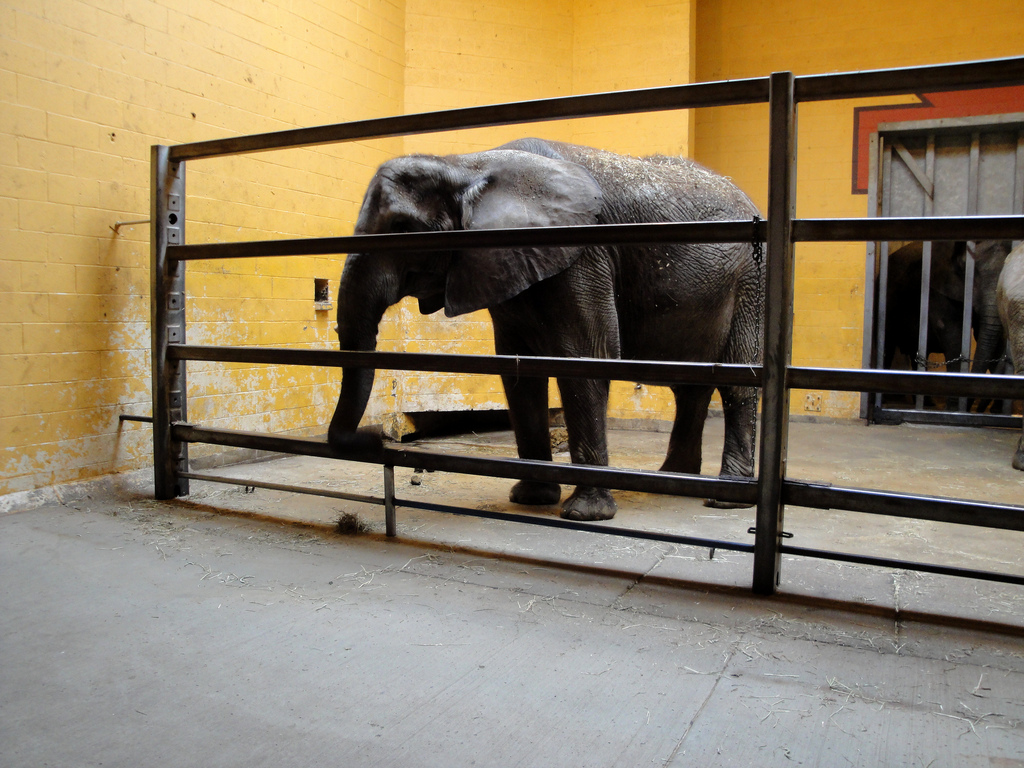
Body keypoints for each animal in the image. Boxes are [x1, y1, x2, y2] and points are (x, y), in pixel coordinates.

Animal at [327, 138, 763, 521]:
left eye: (402, 225)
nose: (374, 440)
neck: (468, 165)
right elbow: (519, 370)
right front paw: (532, 499)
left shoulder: (585, 254)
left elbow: (588, 358)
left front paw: (585, 514)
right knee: (691, 387)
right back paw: (672, 483)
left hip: (750, 281)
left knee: (737, 383)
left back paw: (725, 500)